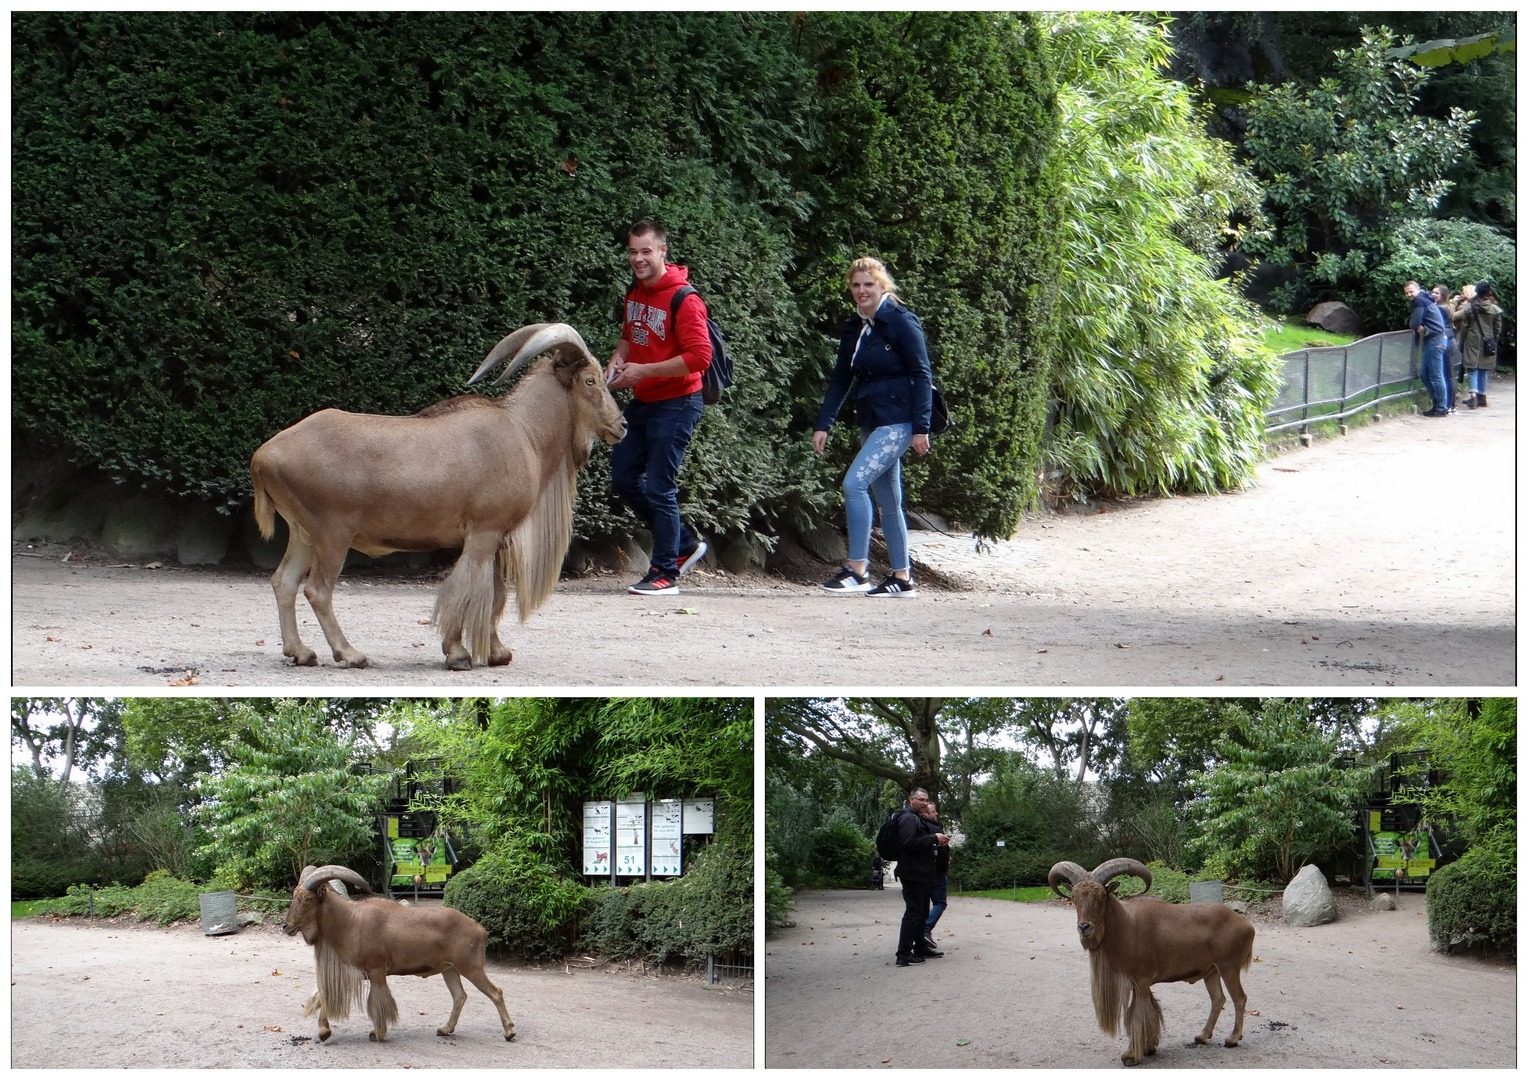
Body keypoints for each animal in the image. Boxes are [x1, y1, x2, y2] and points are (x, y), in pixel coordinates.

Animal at [250, 325, 620, 672]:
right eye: (590, 380)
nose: (622, 425)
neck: (524, 431)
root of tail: (263, 456)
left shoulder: (493, 539)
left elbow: (494, 594)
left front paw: (497, 652)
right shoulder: (484, 533)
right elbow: (473, 591)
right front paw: (459, 654)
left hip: (303, 533)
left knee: (284, 582)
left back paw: (300, 652)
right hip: (332, 535)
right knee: (317, 590)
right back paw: (350, 653)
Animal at [287, 867, 519, 1044]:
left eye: (307, 898)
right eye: (293, 897)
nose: (285, 926)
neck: (350, 922)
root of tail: (480, 929)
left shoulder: (376, 971)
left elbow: (378, 1003)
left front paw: (376, 1033)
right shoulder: (356, 973)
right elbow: (322, 995)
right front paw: (323, 1032)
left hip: (470, 967)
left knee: (495, 992)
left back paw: (509, 1032)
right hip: (450, 969)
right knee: (459, 996)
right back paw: (445, 1029)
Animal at [1051, 861, 1252, 1063]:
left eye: (1102, 895)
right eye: (1074, 896)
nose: (1084, 927)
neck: (1127, 925)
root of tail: (1247, 925)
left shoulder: (1142, 981)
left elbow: (1137, 1014)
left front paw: (1132, 1055)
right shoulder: (1137, 982)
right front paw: (1148, 1047)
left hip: (1229, 967)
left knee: (1239, 998)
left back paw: (1233, 1039)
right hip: (1211, 971)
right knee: (1218, 999)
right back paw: (1202, 1036)